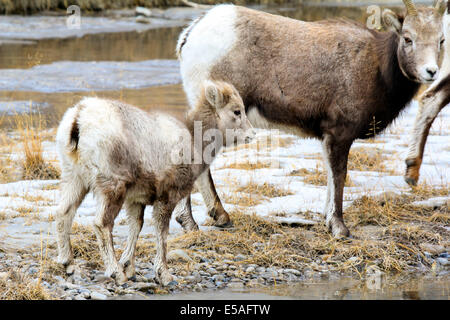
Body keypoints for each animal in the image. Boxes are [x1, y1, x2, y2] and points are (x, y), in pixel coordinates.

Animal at [53, 81, 253, 286]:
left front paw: (129, 267)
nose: (251, 134)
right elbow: (161, 233)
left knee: (63, 214)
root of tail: (78, 119)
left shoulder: (136, 200)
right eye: (237, 111)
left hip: (74, 179)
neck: (193, 139)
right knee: (102, 224)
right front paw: (163, 275)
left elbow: (136, 227)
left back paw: (69, 265)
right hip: (112, 187)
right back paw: (116, 273)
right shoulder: (167, 198)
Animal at [174, 0, 444, 238]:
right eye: (408, 38)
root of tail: (191, 33)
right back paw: (195, 223)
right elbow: (339, 175)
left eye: (441, 40)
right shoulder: (339, 135)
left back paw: (216, 218)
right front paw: (339, 228)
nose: (431, 72)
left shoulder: (328, 137)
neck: (377, 68)